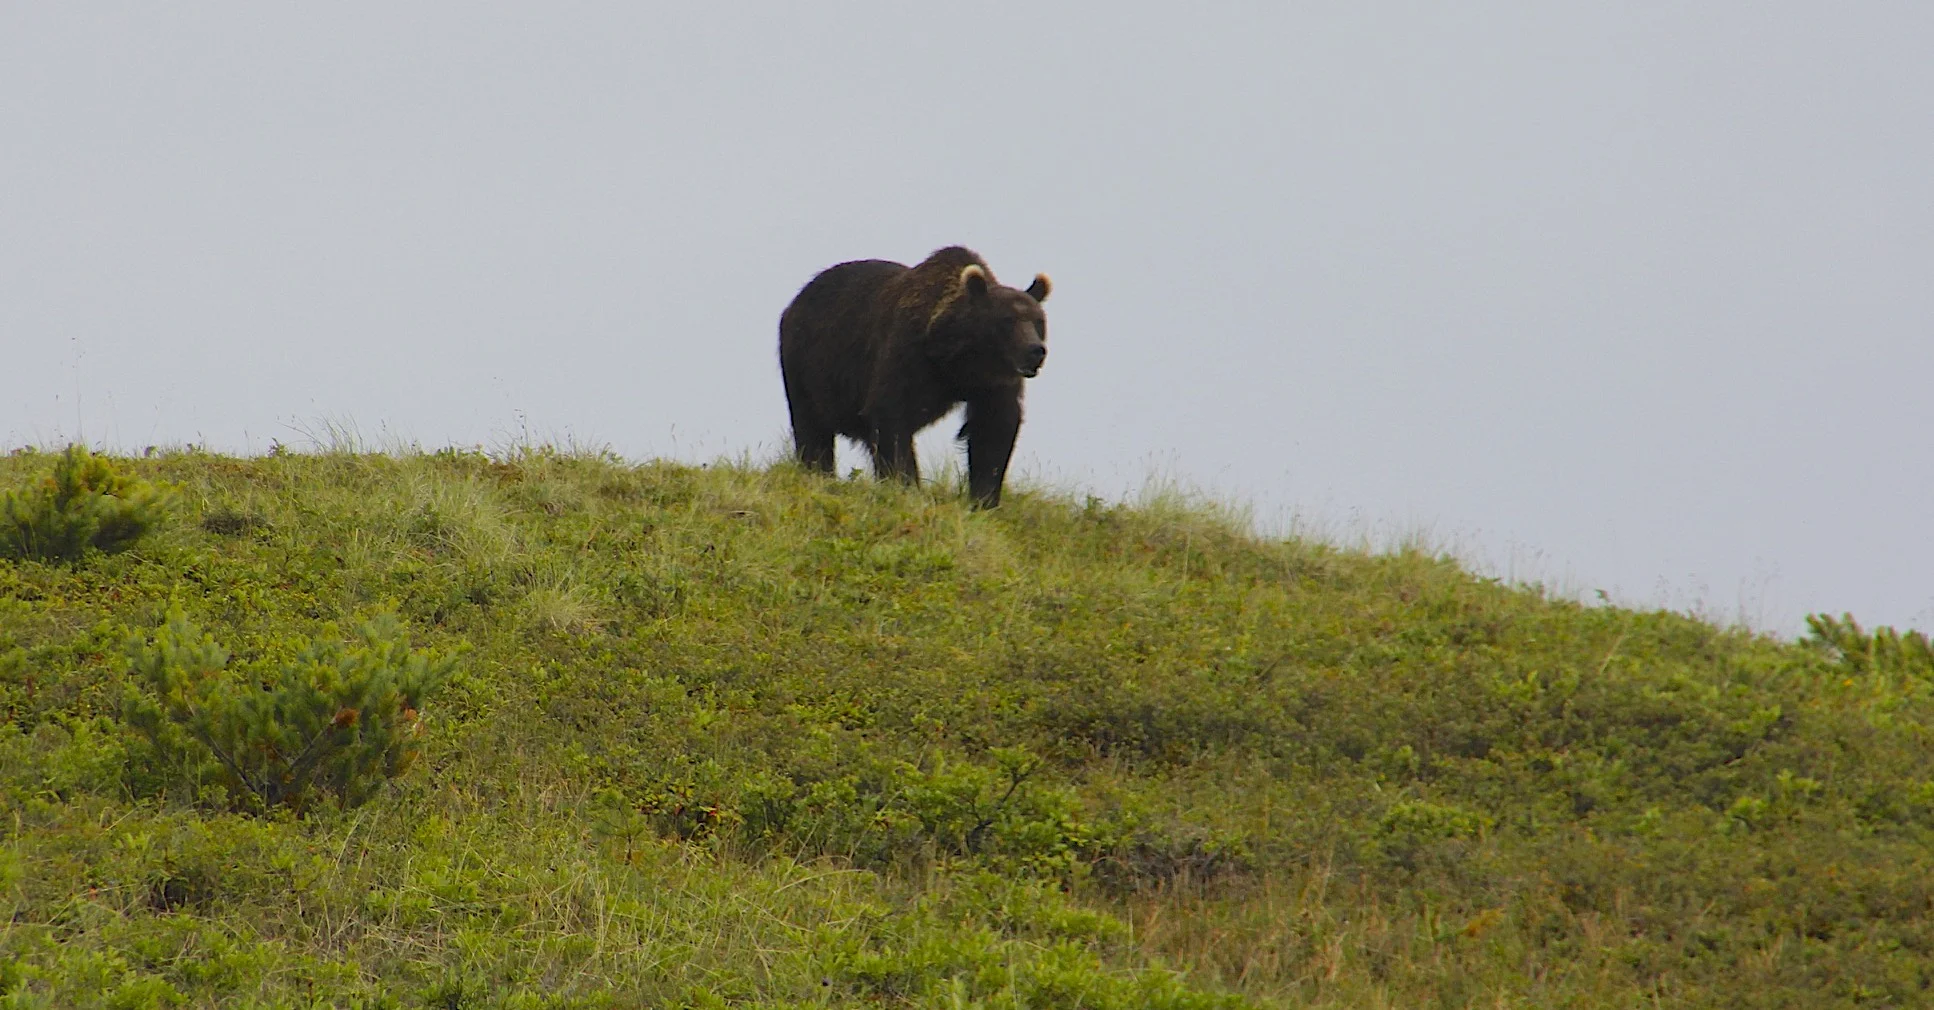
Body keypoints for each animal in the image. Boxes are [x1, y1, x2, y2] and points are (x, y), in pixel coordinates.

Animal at [778, 246, 1051, 509]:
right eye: (1007, 320)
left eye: (1039, 321)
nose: (1035, 351)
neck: (954, 360)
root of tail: (797, 298)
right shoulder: (907, 356)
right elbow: (891, 419)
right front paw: (905, 485)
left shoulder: (993, 383)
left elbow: (994, 430)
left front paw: (984, 499)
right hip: (806, 363)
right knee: (811, 427)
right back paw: (817, 471)